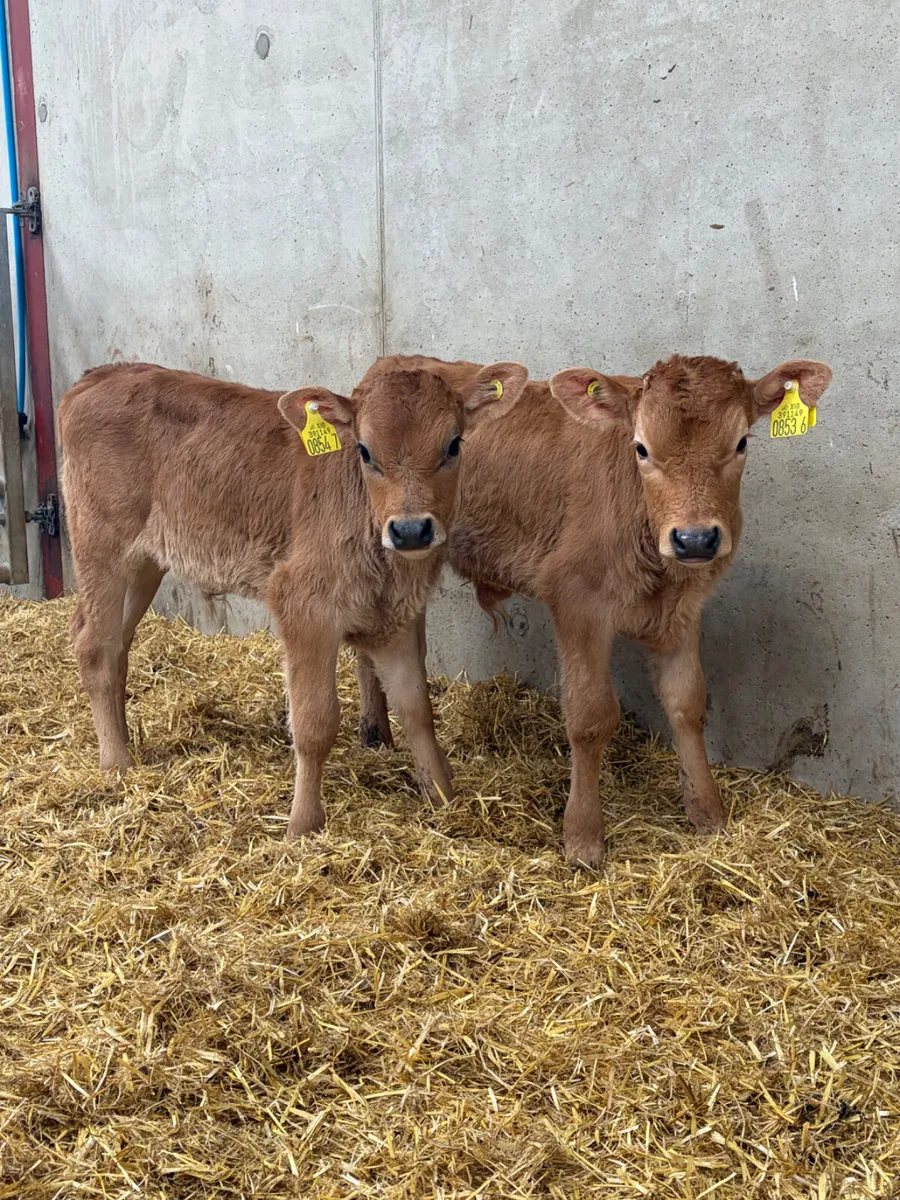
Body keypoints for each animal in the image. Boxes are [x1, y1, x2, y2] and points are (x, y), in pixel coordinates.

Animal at [59, 359, 528, 838]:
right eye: (364, 451)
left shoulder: (397, 616)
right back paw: (117, 763)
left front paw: (445, 799)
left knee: (115, 642)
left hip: (145, 562)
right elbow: (315, 722)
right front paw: (303, 825)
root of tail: (103, 374)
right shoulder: (301, 604)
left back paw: (124, 741)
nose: (411, 529)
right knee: (94, 646)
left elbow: (417, 710)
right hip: (102, 544)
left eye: (453, 444)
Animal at [353, 353, 833, 867]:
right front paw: (583, 837)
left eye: (741, 442)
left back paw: (376, 734)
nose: (696, 538)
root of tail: (391, 363)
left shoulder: (684, 608)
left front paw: (707, 813)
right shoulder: (577, 602)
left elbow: (687, 703)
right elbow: (589, 717)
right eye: (641, 448)